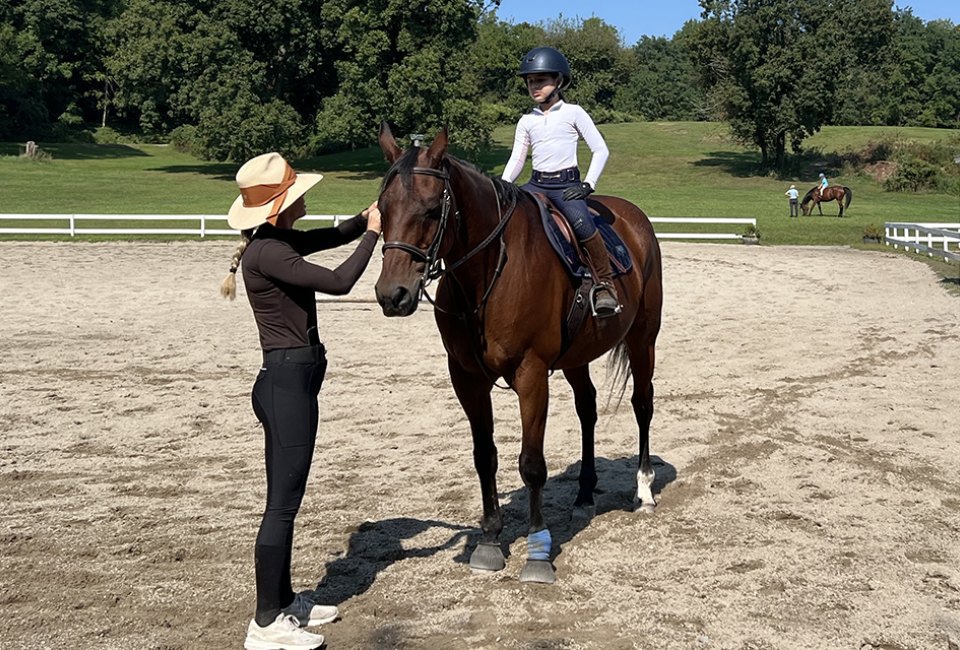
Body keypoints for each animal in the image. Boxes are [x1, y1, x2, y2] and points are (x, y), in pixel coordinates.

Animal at [372, 123, 664, 584]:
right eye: (383, 208)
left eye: (432, 209)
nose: (392, 295)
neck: (488, 271)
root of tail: (633, 217)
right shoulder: (466, 378)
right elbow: (484, 456)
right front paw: (490, 540)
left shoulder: (531, 373)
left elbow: (531, 463)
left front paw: (537, 552)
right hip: (577, 356)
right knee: (587, 409)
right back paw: (584, 493)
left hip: (642, 338)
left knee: (642, 403)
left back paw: (644, 489)